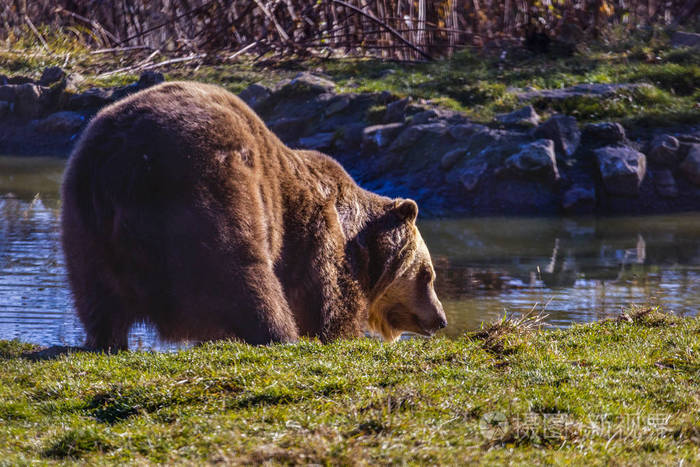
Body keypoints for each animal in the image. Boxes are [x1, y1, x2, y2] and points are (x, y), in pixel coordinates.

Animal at [60, 81, 446, 352]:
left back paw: (106, 337)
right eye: (427, 275)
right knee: (242, 272)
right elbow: (329, 299)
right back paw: (279, 333)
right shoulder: (315, 235)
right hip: (212, 190)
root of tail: (124, 163)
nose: (440, 319)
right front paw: (342, 332)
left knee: (97, 293)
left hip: (85, 218)